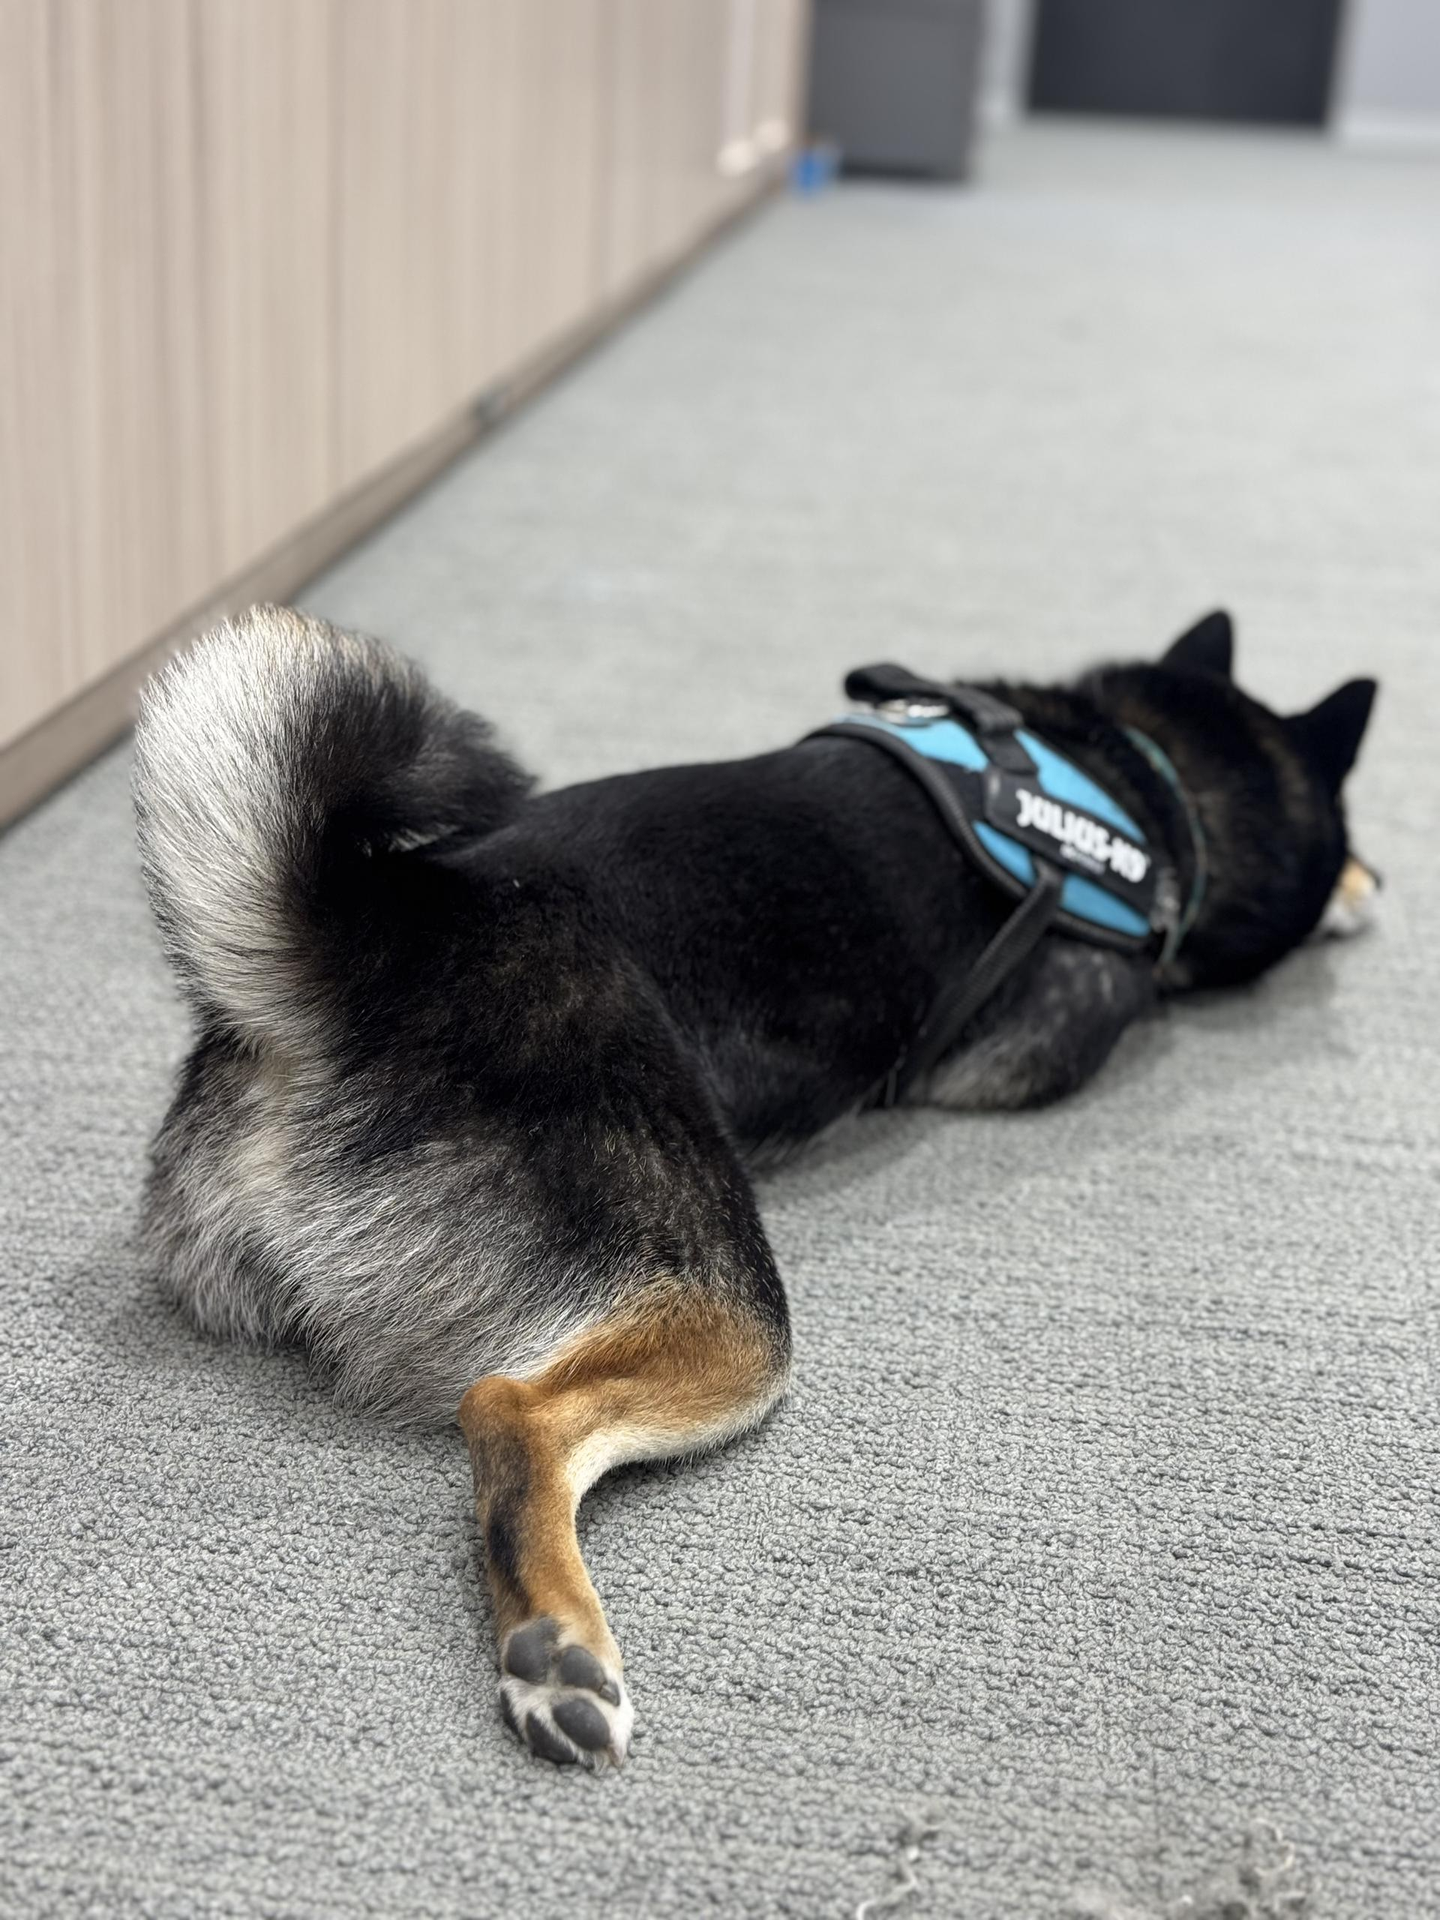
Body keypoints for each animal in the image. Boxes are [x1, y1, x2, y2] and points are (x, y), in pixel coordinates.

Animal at [131, 605, 1376, 1769]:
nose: (1384, 879)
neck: (1135, 773)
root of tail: (353, 956)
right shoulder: (1036, 1054)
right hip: (727, 1311)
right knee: (511, 1410)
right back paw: (558, 1651)